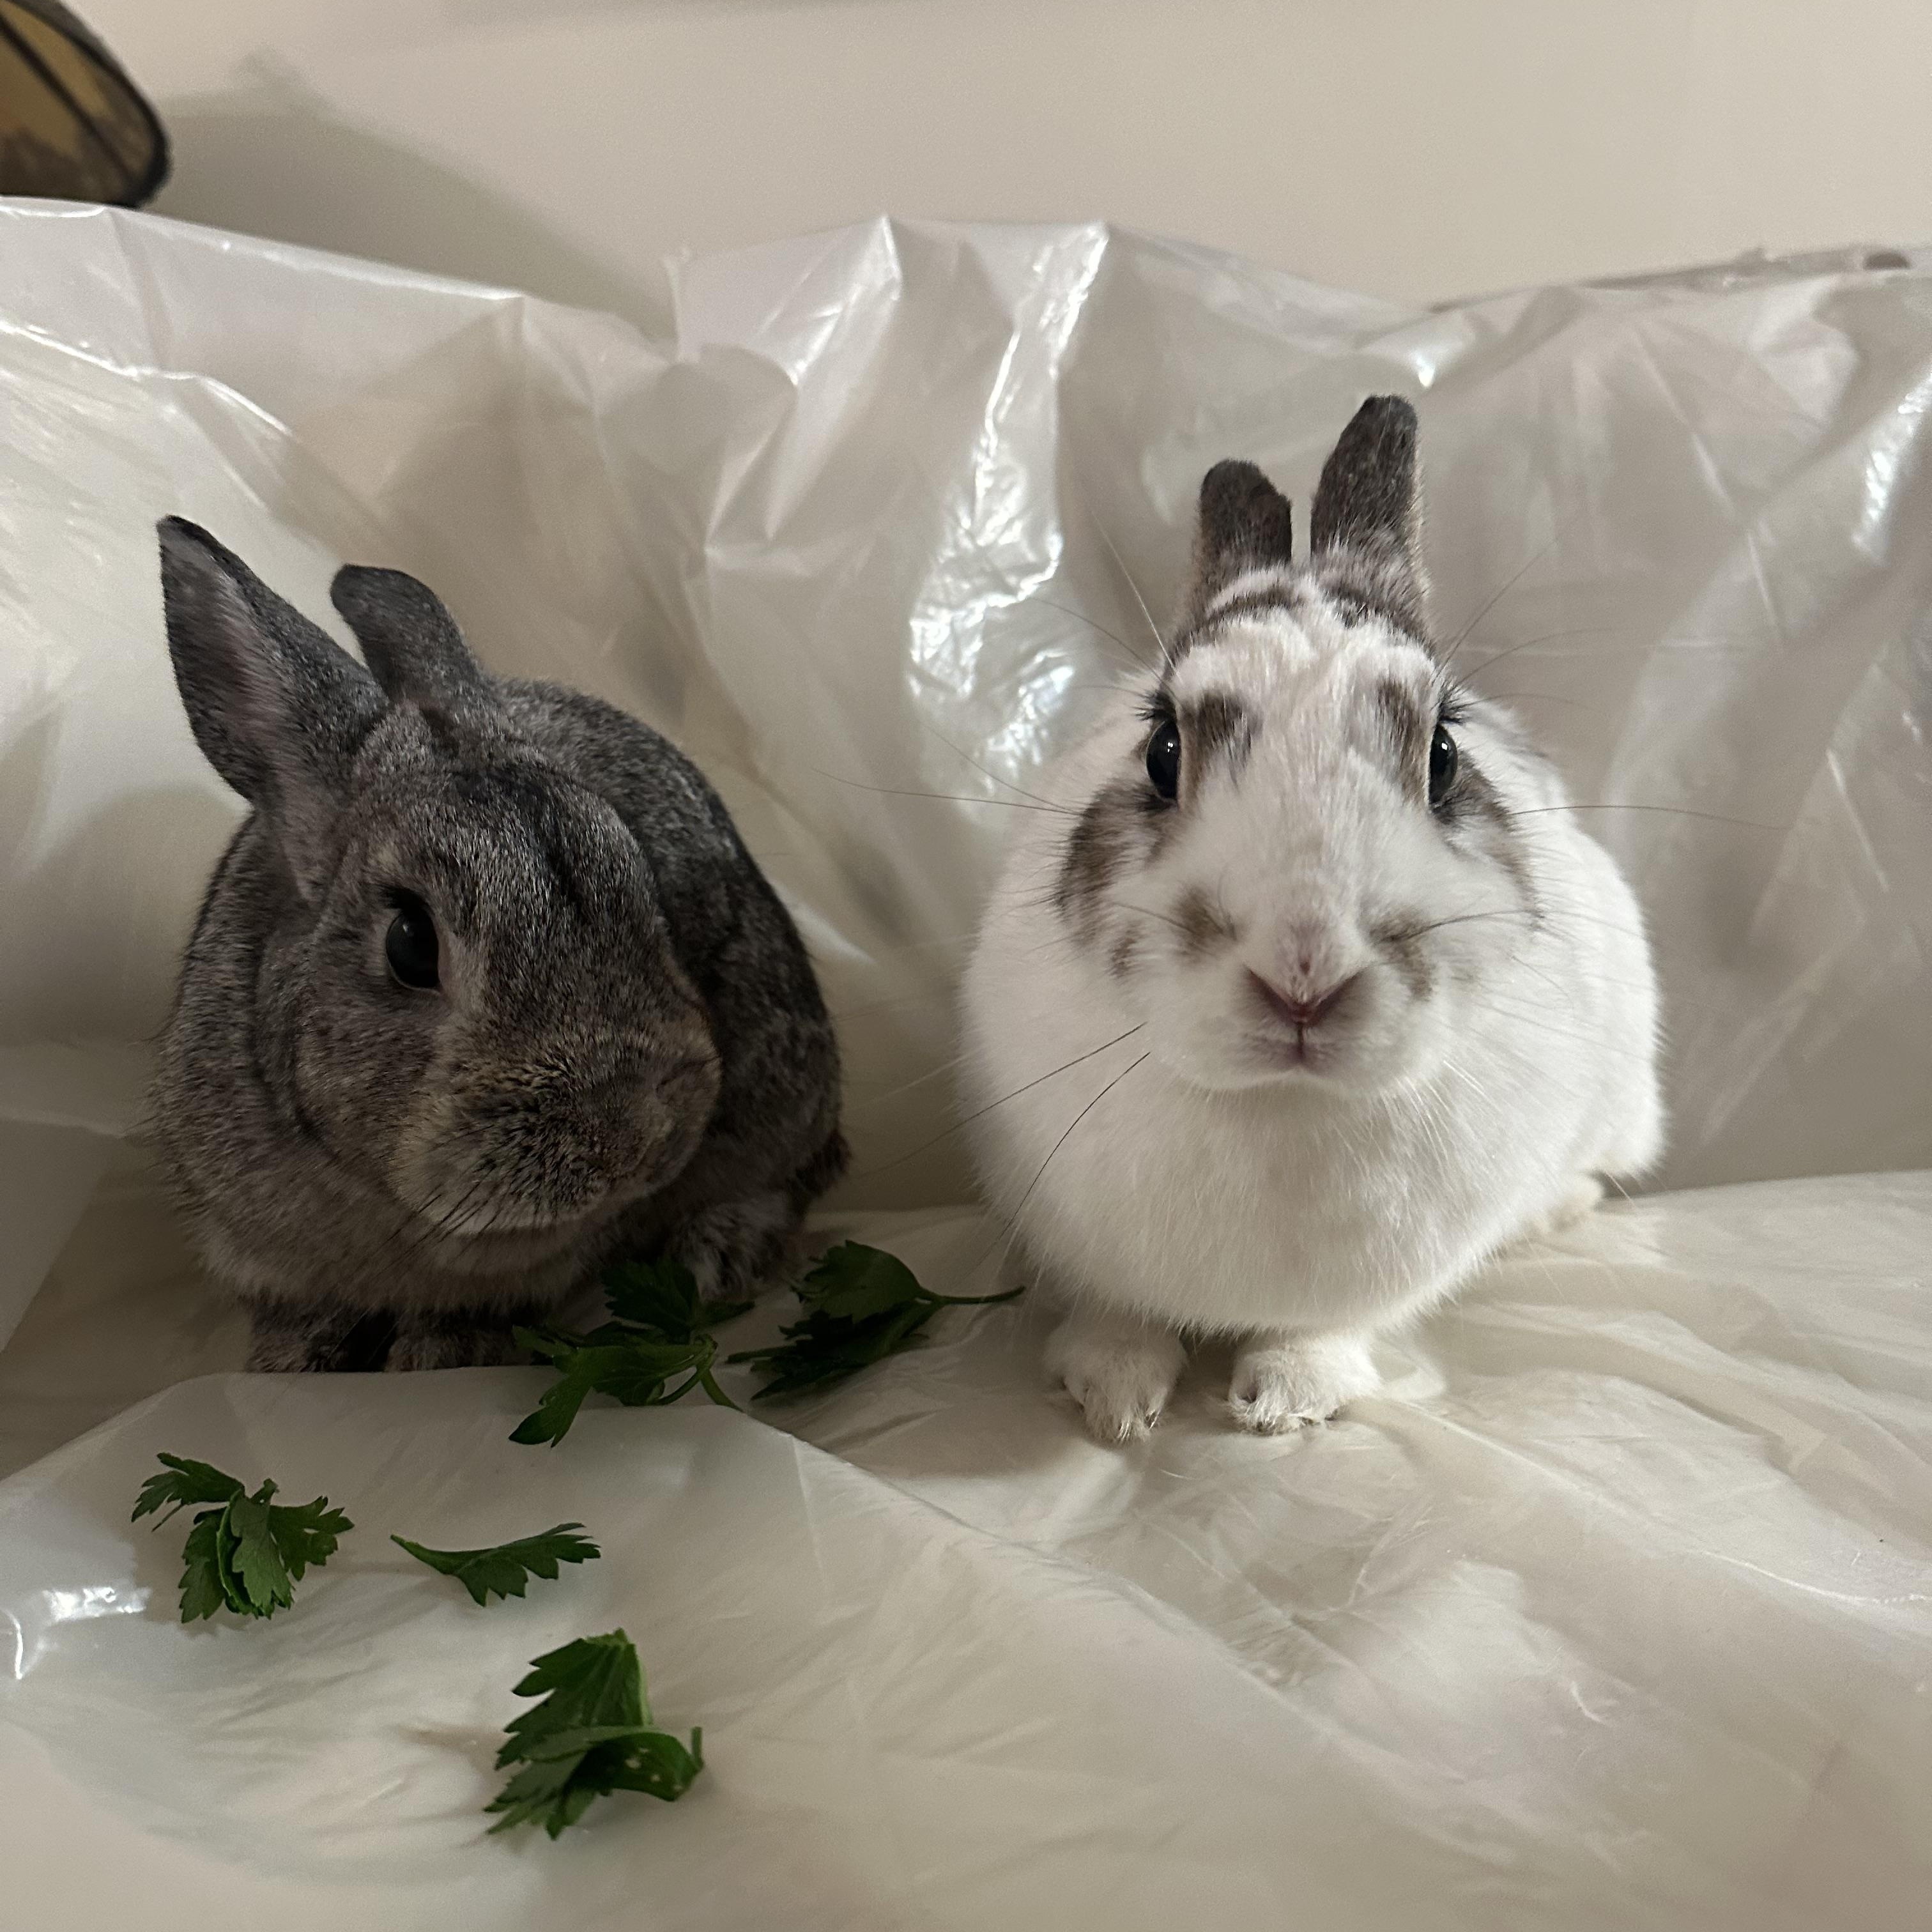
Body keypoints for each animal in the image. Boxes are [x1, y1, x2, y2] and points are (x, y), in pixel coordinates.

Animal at [151, 519, 845, 1372]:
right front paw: (288, 1362)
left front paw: (439, 1355)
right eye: (411, 944)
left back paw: (717, 1253)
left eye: (640, 877)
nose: (628, 1134)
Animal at [960, 397, 1663, 1443]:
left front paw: (1284, 1401)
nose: (1304, 977)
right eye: (1162, 751)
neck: (1278, 1104)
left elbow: (1324, 1330)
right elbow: (1114, 1314)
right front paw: (1114, 1399)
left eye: (1443, 757)